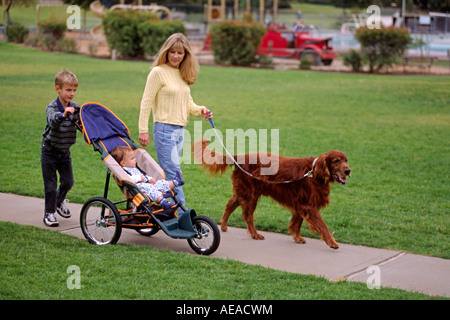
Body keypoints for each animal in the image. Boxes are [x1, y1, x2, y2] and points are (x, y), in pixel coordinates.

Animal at [192, 139, 350, 249]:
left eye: (346, 160)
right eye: (336, 161)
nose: (348, 170)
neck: (313, 172)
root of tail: (239, 157)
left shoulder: (301, 204)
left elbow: (297, 223)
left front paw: (297, 237)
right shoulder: (308, 206)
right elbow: (323, 225)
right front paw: (332, 242)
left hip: (245, 192)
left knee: (230, 204)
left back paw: (224, 225)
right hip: (251, 195)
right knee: (248, 216)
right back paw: (255, 234)